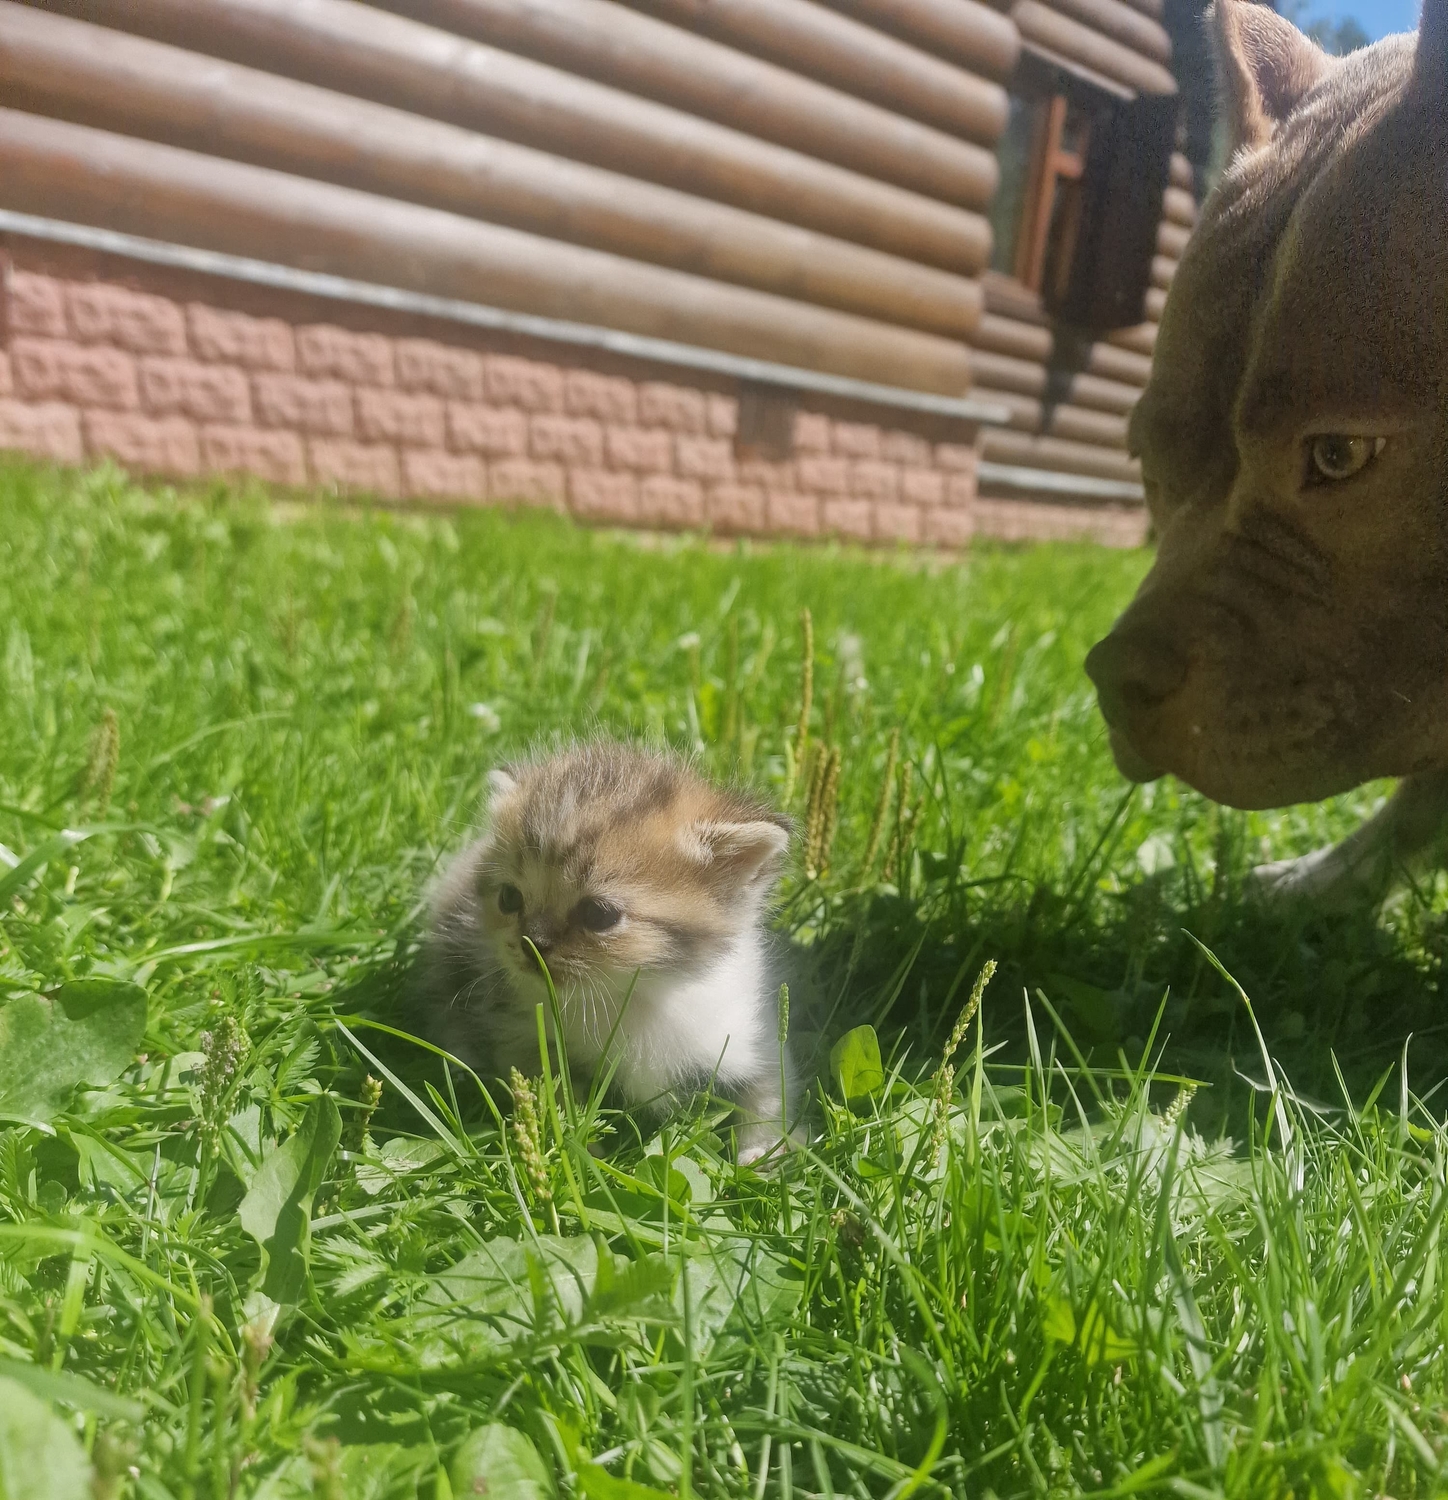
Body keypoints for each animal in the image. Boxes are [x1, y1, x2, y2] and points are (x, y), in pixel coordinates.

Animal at [420, 741, 799, 1165]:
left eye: (598, 914)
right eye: (509, 898)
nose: (532, 942)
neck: (633, 996)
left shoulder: (751, 1036)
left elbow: (770, 1094)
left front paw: (763, 1152)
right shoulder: (522, 1037)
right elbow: (554, 1093)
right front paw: (583, 1154)